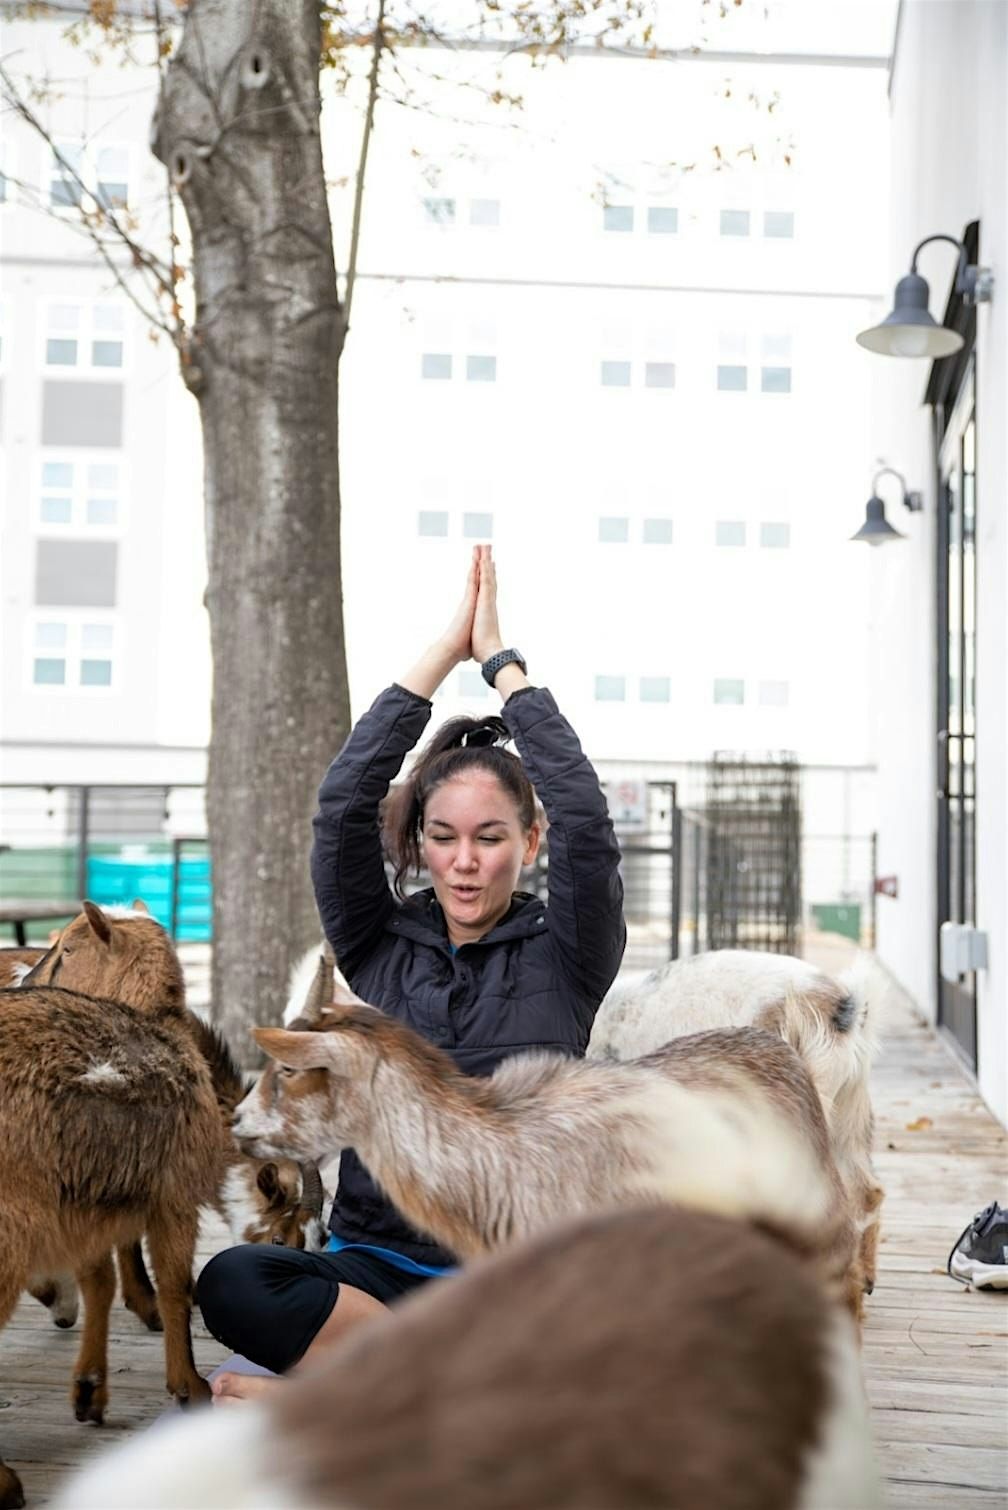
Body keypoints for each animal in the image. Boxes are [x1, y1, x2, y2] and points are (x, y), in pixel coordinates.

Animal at [0, 978, 221, 1510]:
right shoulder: (174, 1196)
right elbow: (176, 1287)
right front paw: (192, 1388)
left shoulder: (86, 1211)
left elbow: (99, 1282)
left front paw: (89, 1391)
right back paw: (7, 1484)